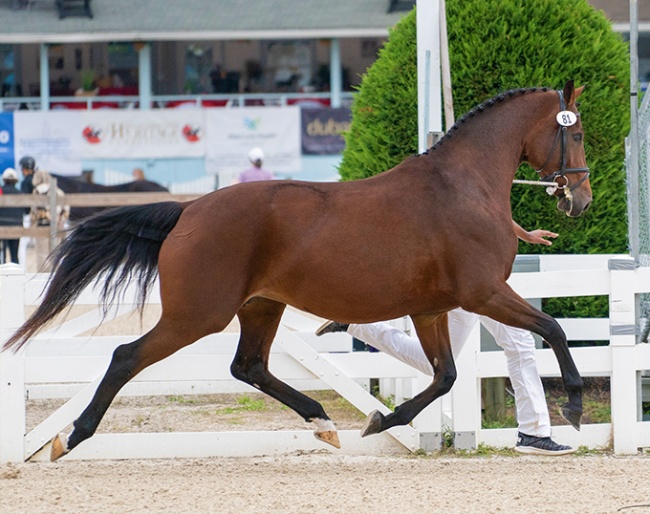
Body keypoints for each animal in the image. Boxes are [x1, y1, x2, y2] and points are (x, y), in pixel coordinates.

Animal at [3, 81, 592, 460]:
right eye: (579, 133)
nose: (580, 200)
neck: (462, 187)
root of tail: (187, 212)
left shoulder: (432, 309)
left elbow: (445, 375)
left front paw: (383, 420)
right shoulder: (483, 292)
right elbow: (554, 330)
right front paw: (575, 406)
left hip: (261, 306)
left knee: (250, 367)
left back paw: (323, 421)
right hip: (199, 315)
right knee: (128, 356)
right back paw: (69, 438)